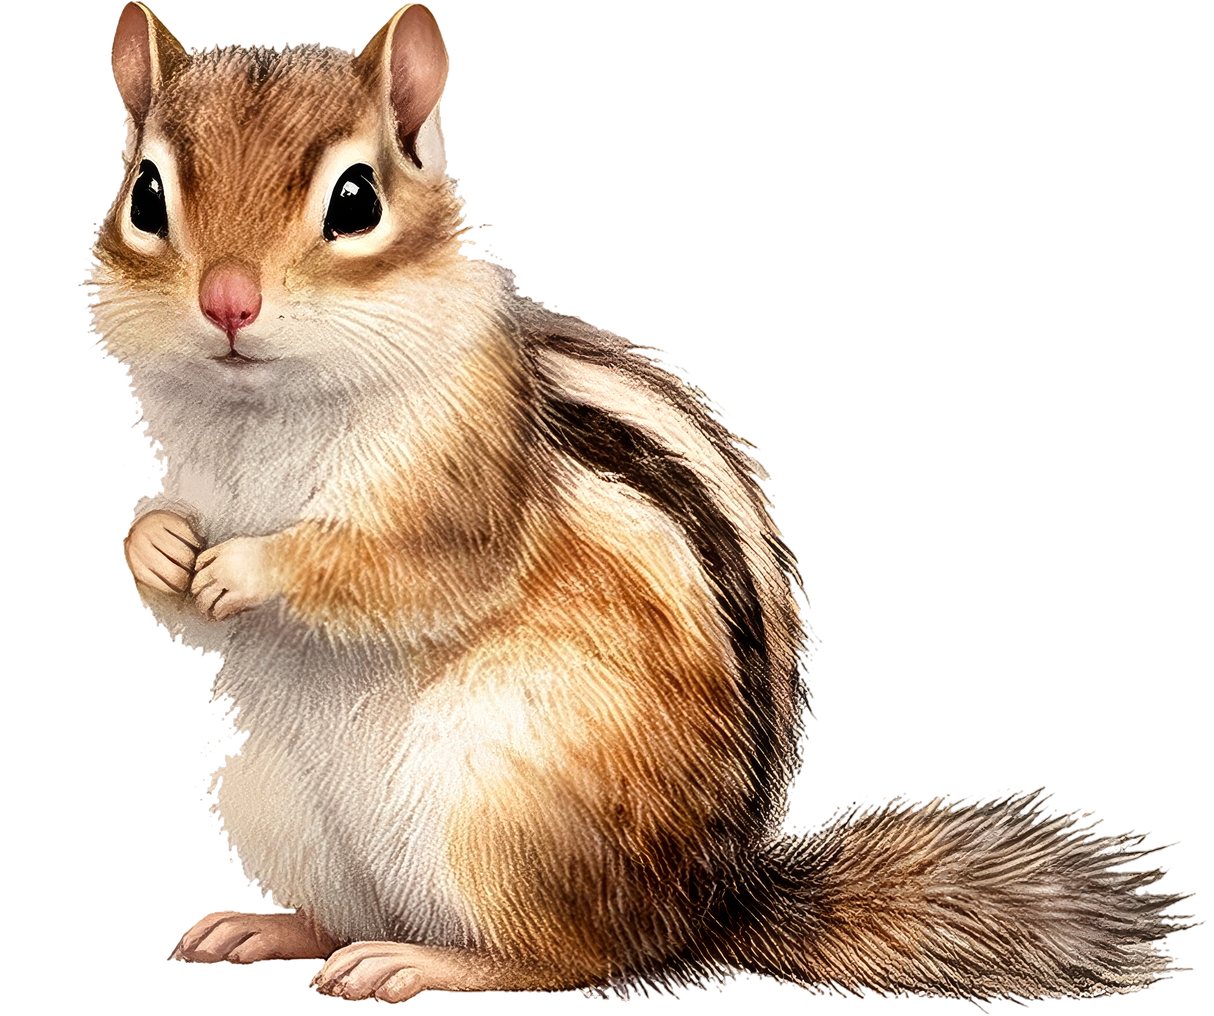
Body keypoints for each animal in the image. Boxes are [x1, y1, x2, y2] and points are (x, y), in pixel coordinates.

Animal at [78, 2, 1204, 1007]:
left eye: (354, 200)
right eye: (146, 195)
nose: (228, 301)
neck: (261, 406)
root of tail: (710, 904)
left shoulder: (467, 478)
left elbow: (407, 567)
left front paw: (246, 564)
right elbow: (178, 588)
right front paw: (161, 544)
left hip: (496, 803)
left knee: (569, 957)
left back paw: (417, 963)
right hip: (267, 797)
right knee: (353, 910)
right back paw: (270, 926)